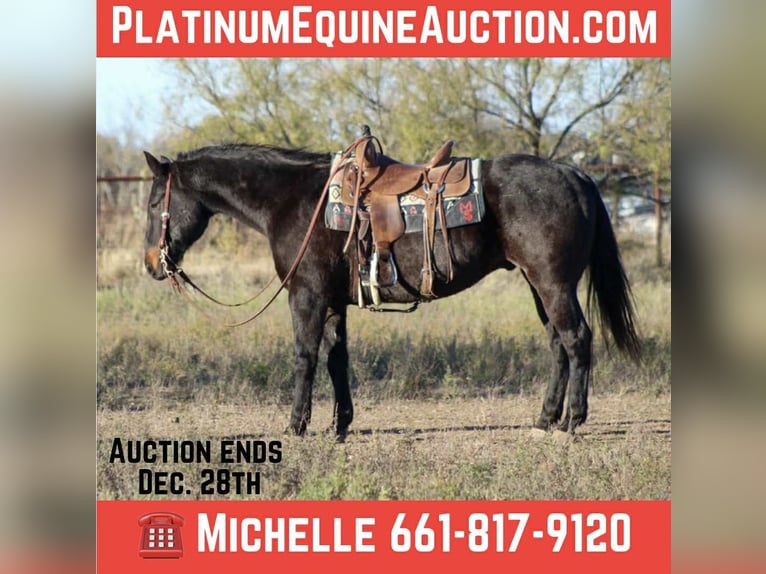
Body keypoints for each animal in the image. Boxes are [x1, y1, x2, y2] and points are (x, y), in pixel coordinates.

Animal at [142, 141, 641, 439]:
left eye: (151, 204)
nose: (151, 264)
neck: (296, 201)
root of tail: (574, 174)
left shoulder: (306, 296)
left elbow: (305, 357)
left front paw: (296, 425)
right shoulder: (333, 302)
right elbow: (336, 359)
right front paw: (340, 426)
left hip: (553, 283)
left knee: (576, 339)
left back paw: (571, 422)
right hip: (539, 284)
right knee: (557, 343)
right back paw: (544, 419)